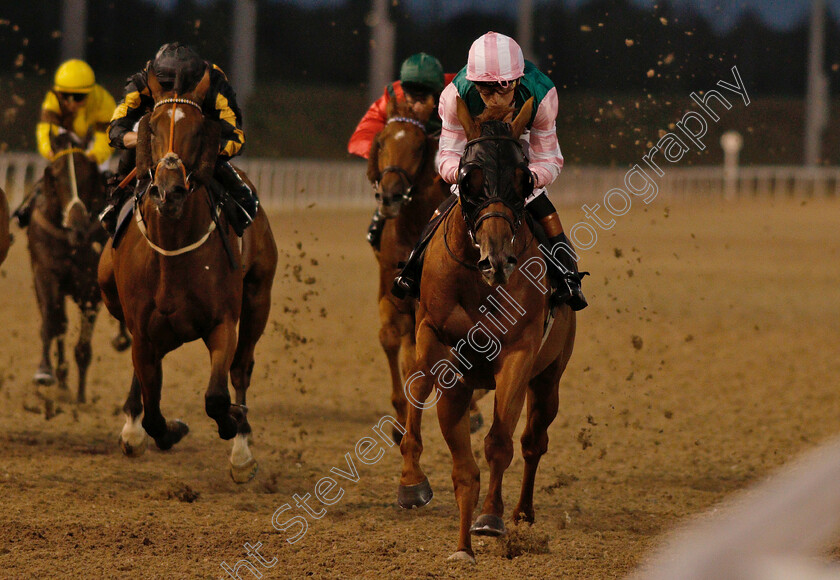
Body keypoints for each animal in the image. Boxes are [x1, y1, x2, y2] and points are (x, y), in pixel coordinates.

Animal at [25, 131, 130, 404]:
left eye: (87, 174)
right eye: (55, 175)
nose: (77, 225)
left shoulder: (90, 288)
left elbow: (83, 345)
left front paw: (81, 397)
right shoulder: (46, 273)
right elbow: (51, 323)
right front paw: (45, 372)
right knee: (59, 323)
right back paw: (60, 380)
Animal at [97, 69, 278, 484]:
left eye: (197, 130)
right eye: (152, 128)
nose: (169, 190)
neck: (172, 251)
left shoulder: (223, 323)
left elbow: (216, 397)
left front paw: (235, 430)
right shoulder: (143, 331)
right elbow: (154, 414)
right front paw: (159, 430)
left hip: (259, 295)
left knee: (241, 368)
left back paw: (241, 444)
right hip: (112, 293)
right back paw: (132, 428)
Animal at [364, 98, 450, 440]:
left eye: (417, 146)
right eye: (381, 142)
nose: (390, 196)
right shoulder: (391, 288)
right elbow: (390, 339)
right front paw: (401, 419)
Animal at [398, 98, 576, 560]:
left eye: (524, 177)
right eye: (468, 177)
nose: (497, 260)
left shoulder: (518, 354)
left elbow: (500, 442)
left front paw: (490, 518)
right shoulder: (437, 342)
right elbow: (422, 393)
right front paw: (416, 483)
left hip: (550, 376)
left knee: (533, 440)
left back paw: (522, 512)